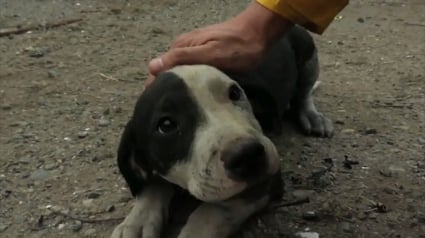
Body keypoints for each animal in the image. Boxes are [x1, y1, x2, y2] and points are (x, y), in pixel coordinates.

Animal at [109, 25, 332, 237]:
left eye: (235, 92)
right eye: (166, 125)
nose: (248, 155)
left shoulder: (268, 180)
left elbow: (212, 212)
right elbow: (154, 183)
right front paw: (136, 222)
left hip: (308, 54)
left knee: (304, 92)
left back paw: (312, 116)